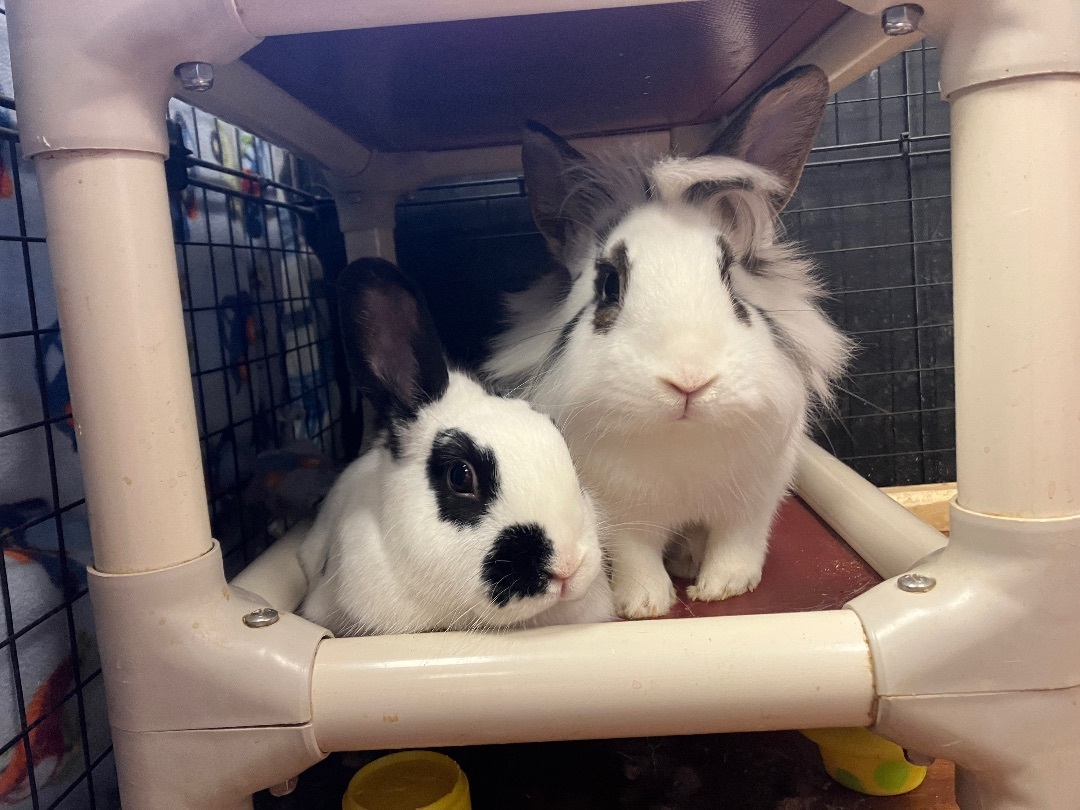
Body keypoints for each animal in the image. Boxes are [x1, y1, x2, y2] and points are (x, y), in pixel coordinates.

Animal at [482, 65, 850, 619]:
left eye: (730, 278)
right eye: (610, 283)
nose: (689, 380)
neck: (683, 442)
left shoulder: (754, 501)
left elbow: (738, 544)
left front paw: (723, 588)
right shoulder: (621, 514)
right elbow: (637, 557)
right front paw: (644, 604)